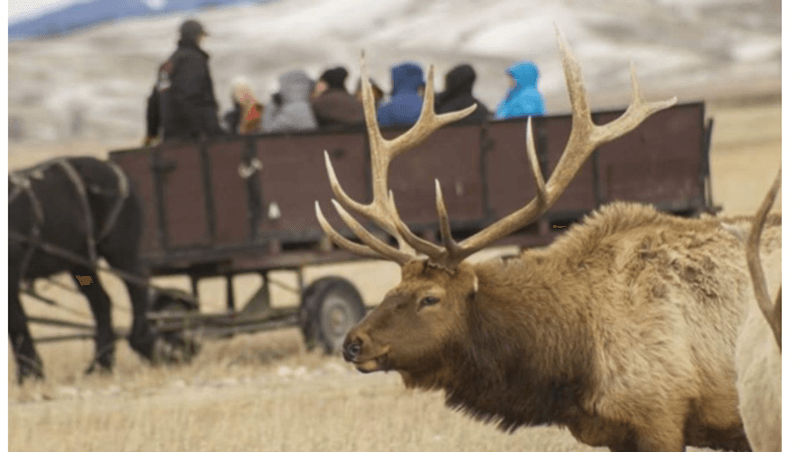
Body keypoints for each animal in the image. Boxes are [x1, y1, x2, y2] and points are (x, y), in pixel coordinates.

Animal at [314, 29, 781, 452]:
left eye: (430, 297)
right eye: (395, 288)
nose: (353, 342)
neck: (571, 358)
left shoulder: (660, 414)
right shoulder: (619, 433)